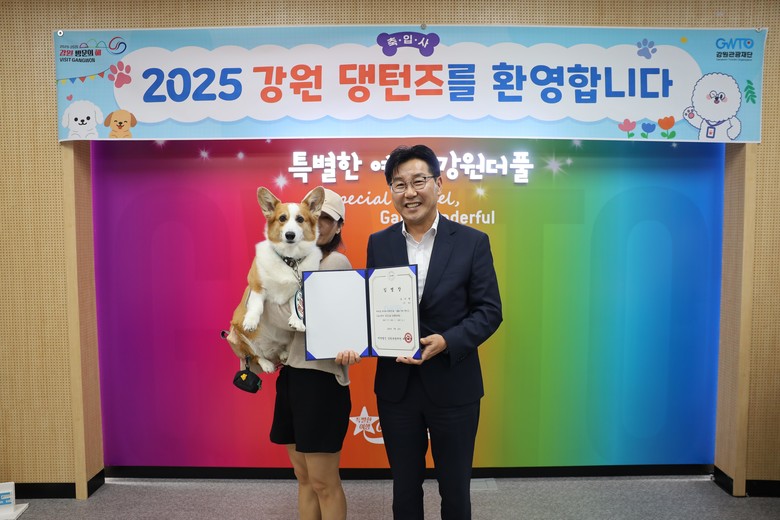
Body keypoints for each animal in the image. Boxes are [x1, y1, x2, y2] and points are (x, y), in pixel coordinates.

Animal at [224, 186, 325, 374]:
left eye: (300, 219)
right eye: (282, 218)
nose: (290, 235)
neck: (289, 260)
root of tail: (270, 350)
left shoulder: (298, 288)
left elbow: (295, 305)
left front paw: (297, 321)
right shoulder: (256, 286)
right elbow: (256, 304)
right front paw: (251, 320)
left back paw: (283, 353)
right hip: (236, 337)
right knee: (254, 355)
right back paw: (266, 364)